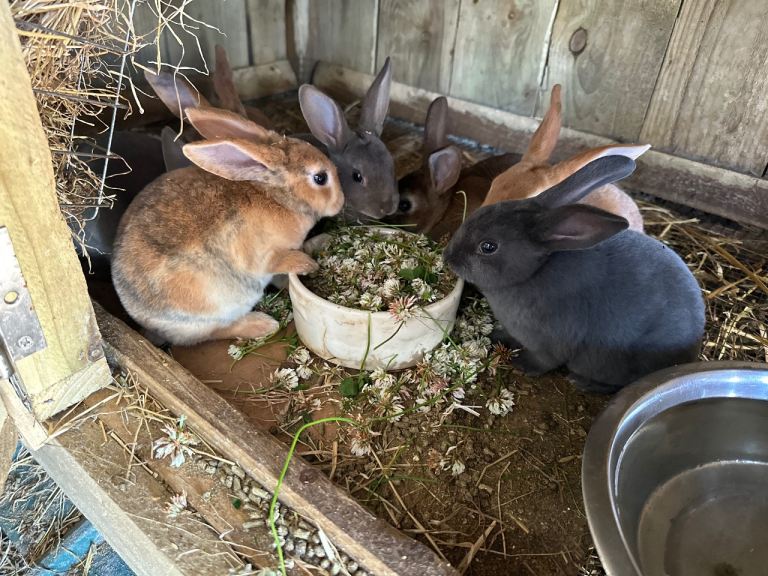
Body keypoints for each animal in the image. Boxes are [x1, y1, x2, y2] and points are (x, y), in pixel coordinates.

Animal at [111, 106, 344, 345]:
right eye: (320, 178)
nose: (340, 202)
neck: (276, 197)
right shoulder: (261, 257)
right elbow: (279, 263)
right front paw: (308, 265)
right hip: (212, 311)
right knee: (214, 332)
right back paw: (263, 325)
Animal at [444, 155, 705, 393]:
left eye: (488, 247)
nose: (448, 256)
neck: (535, 271)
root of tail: (690, 351)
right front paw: (498, 336)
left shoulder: (550, 343)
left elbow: (543, 361)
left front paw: (521, 364)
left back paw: (582, 382)